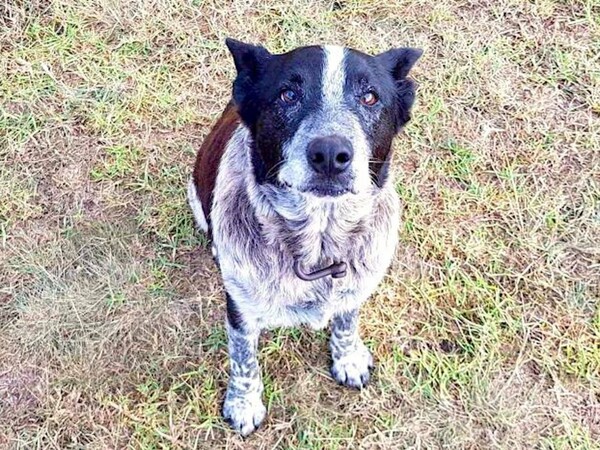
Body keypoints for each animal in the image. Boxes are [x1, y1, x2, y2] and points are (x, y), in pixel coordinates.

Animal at [188, 38, 422, 436]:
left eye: (370, 97)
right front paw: (244, 404)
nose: (330, 153)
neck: (319, 242)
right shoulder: (240, 308)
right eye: (288, 94)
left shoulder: (355, 286)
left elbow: (346, 321)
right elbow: (243, 358)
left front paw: (348, 358)